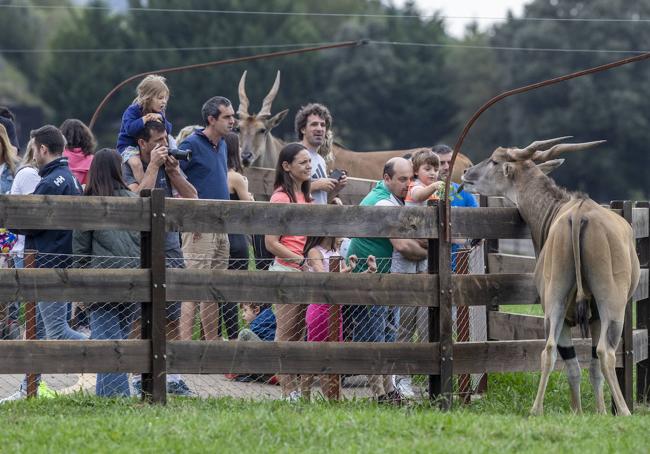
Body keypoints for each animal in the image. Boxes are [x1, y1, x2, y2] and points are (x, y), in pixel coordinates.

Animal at [460, 137, 636, 414]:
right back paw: (625, 411)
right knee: (605, 353)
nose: (466, 172)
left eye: (494, 161)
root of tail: (578, 215)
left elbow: (577, 365)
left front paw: (580, 412)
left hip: (556, 303)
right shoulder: (597, 317)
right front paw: (599, 411)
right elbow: (593, 365)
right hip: (612, 306)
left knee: (551, 350)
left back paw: (536, 410)